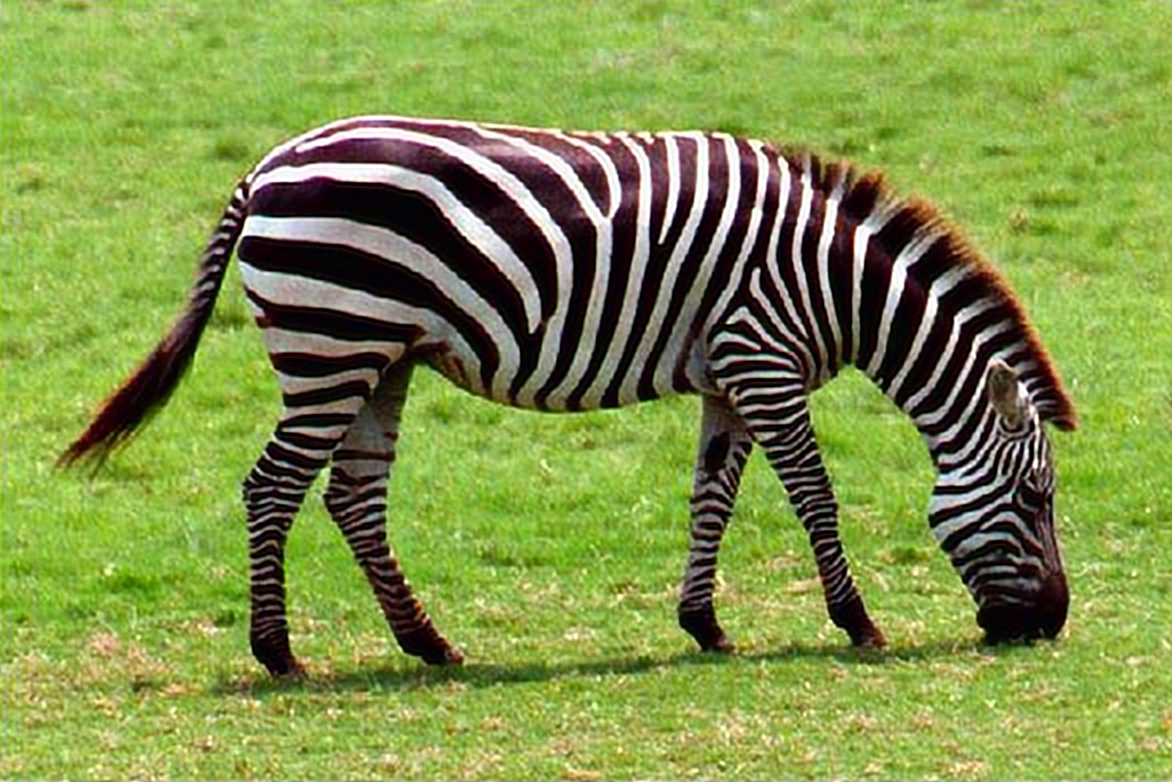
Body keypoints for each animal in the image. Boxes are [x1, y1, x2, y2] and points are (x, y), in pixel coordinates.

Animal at [61, 116, 1077, 677]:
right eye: (1036, 497)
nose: (1049, 626)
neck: (836, 282)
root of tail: (266, 165)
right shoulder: (763, 360)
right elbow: (814, 498)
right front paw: (858, 621)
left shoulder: (731, 377)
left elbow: (712, 497)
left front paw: (704, 623)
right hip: (331, 345)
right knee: (272, 488)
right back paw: (277, 653)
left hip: (381, 358)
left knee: (352, 498)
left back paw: (426, 641)